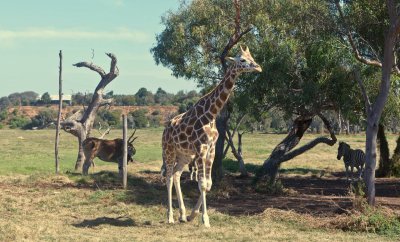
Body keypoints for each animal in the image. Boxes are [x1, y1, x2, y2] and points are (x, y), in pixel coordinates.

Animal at [161, 45, 260, 227]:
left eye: (252, 57)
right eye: (242, 59)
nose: (258, 67)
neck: (211, 113)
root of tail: (166, 129)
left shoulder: (211, 149)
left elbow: (208, 184)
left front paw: (193, 215)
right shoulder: (201, 149)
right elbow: (201, 184)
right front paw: (205, 220)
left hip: (184, 154)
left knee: (177, 175)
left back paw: (182, 214)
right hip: (169, 151)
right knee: (169, 177)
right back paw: (170, 217)